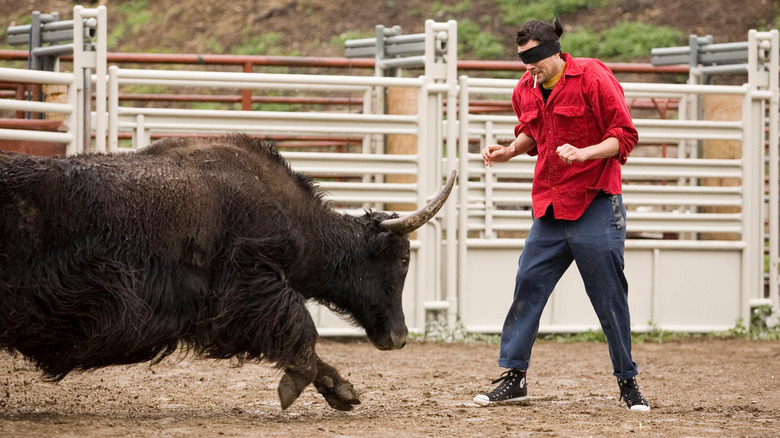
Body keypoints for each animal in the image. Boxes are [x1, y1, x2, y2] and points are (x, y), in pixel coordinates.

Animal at [0, 134, 456, 411]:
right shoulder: (250, 282)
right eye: (402, 261)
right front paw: (297, 386)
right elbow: (300, 327)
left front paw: (340, 390)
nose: (398, 337)